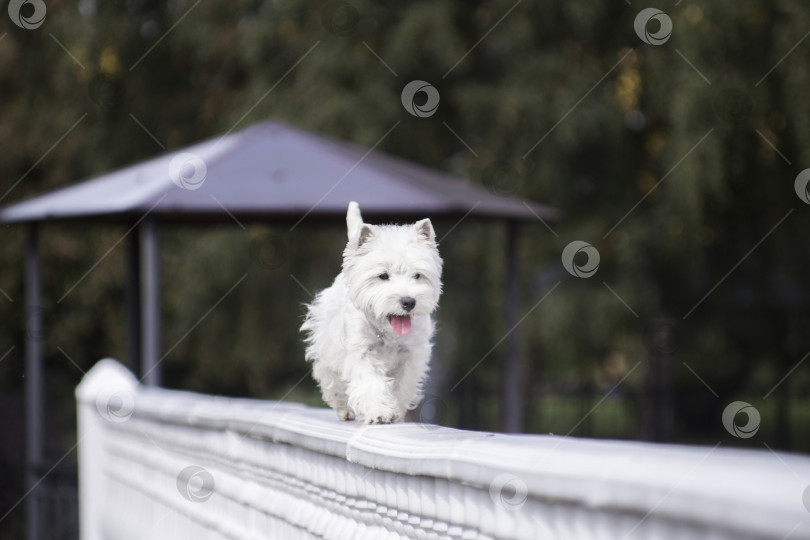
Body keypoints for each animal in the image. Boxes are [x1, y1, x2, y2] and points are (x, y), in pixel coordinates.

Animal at [302, 201, 442, 422]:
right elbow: (369, 383)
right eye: (383, 275)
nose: (408, 301)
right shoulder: (361, 353)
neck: (387, 332)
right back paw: (345, 409)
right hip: (327, 344)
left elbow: (401, 386)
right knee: (330, 378)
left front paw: (395, 410)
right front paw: (380, 412)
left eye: (418, 275)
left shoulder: (411, 356)